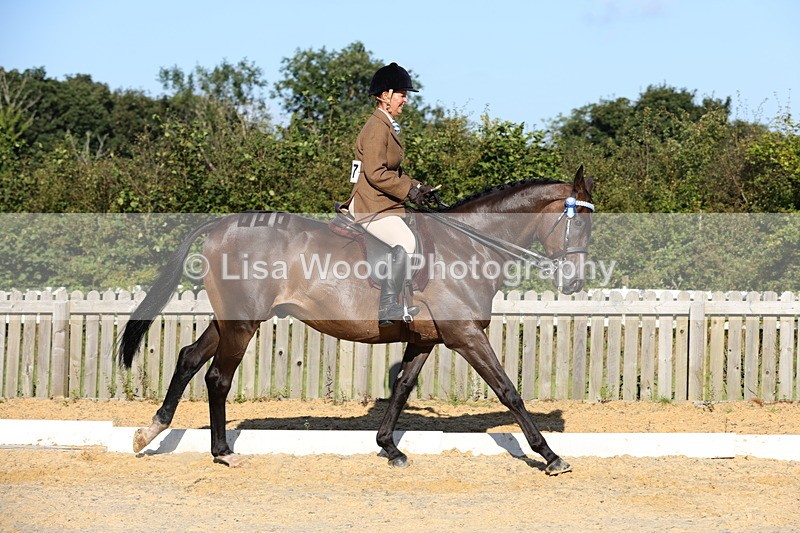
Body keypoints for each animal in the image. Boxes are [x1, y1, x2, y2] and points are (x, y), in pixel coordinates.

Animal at [120, 166, 595, 475]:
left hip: (230, 320)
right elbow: (508, 391)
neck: (469, 246)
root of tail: (220, 226)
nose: (574, 282)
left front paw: (389, 448)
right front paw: (550, 455)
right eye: (579, 225)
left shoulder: (427, 339)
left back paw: (150, 431)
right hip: (242, 324)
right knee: (218, 377)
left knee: (188, 358)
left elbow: (401, 389)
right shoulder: (465, 335)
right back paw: (222, 452)